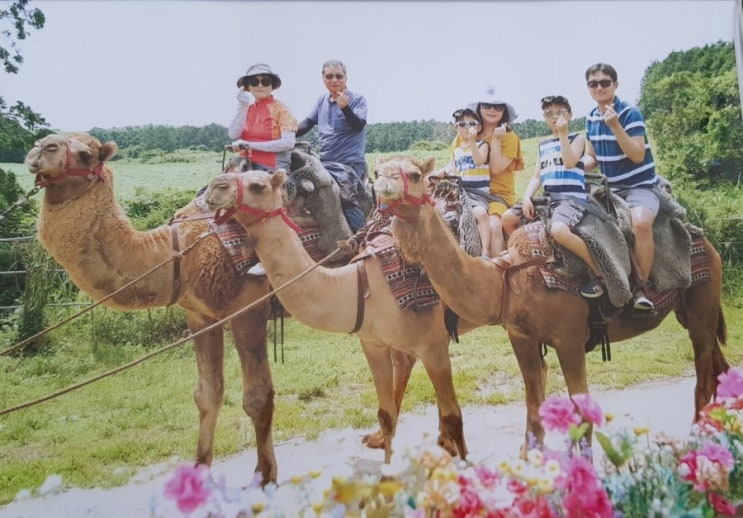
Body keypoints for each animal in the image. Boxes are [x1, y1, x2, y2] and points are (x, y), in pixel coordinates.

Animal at [24, 132, 282, 486]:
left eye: (85, 155)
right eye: (48, 142)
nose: (41, 148)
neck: (177, 252)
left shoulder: (249, 307)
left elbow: (257, 397)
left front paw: (265, 476)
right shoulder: (200, 315)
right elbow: (207, 393)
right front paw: (199, 471)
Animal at [203, 170, 482, 464]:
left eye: (258, 185)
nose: (215, 187)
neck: (358, 285)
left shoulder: (432, 346)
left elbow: (454, 415)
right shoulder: (372, 342)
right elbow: (386, 415)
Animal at [374, 155, 728, 456]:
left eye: (415, 174)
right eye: (377, 171)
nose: (383, 181)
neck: (510, 275)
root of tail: (704, 239)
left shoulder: (570, 339)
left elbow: (579, 412)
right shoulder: (522, 337)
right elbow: (533, 407)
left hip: (703, 301)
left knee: (703, 377)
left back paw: (696, 442)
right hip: (692, 311)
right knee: (717, 366)